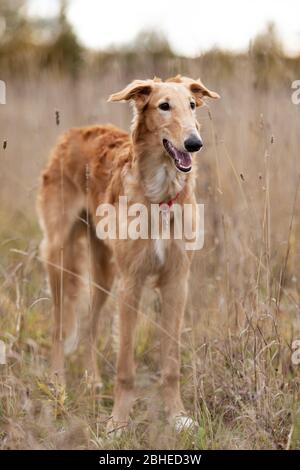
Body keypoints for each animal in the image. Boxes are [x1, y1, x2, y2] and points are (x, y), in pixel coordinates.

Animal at [37, 75, 219, 432]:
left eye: (192, 105)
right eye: (164, 106)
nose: (194, 143)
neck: (160, 197)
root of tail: (72, 133)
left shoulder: (177, 281)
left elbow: (171, 364)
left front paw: (177, 417)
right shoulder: (131, 283)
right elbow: (125, 368)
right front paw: (118, 423)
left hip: (105, 271)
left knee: (89, 324)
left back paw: (92, 380)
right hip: (62, 259)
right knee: (59, 328)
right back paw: (58, 387)